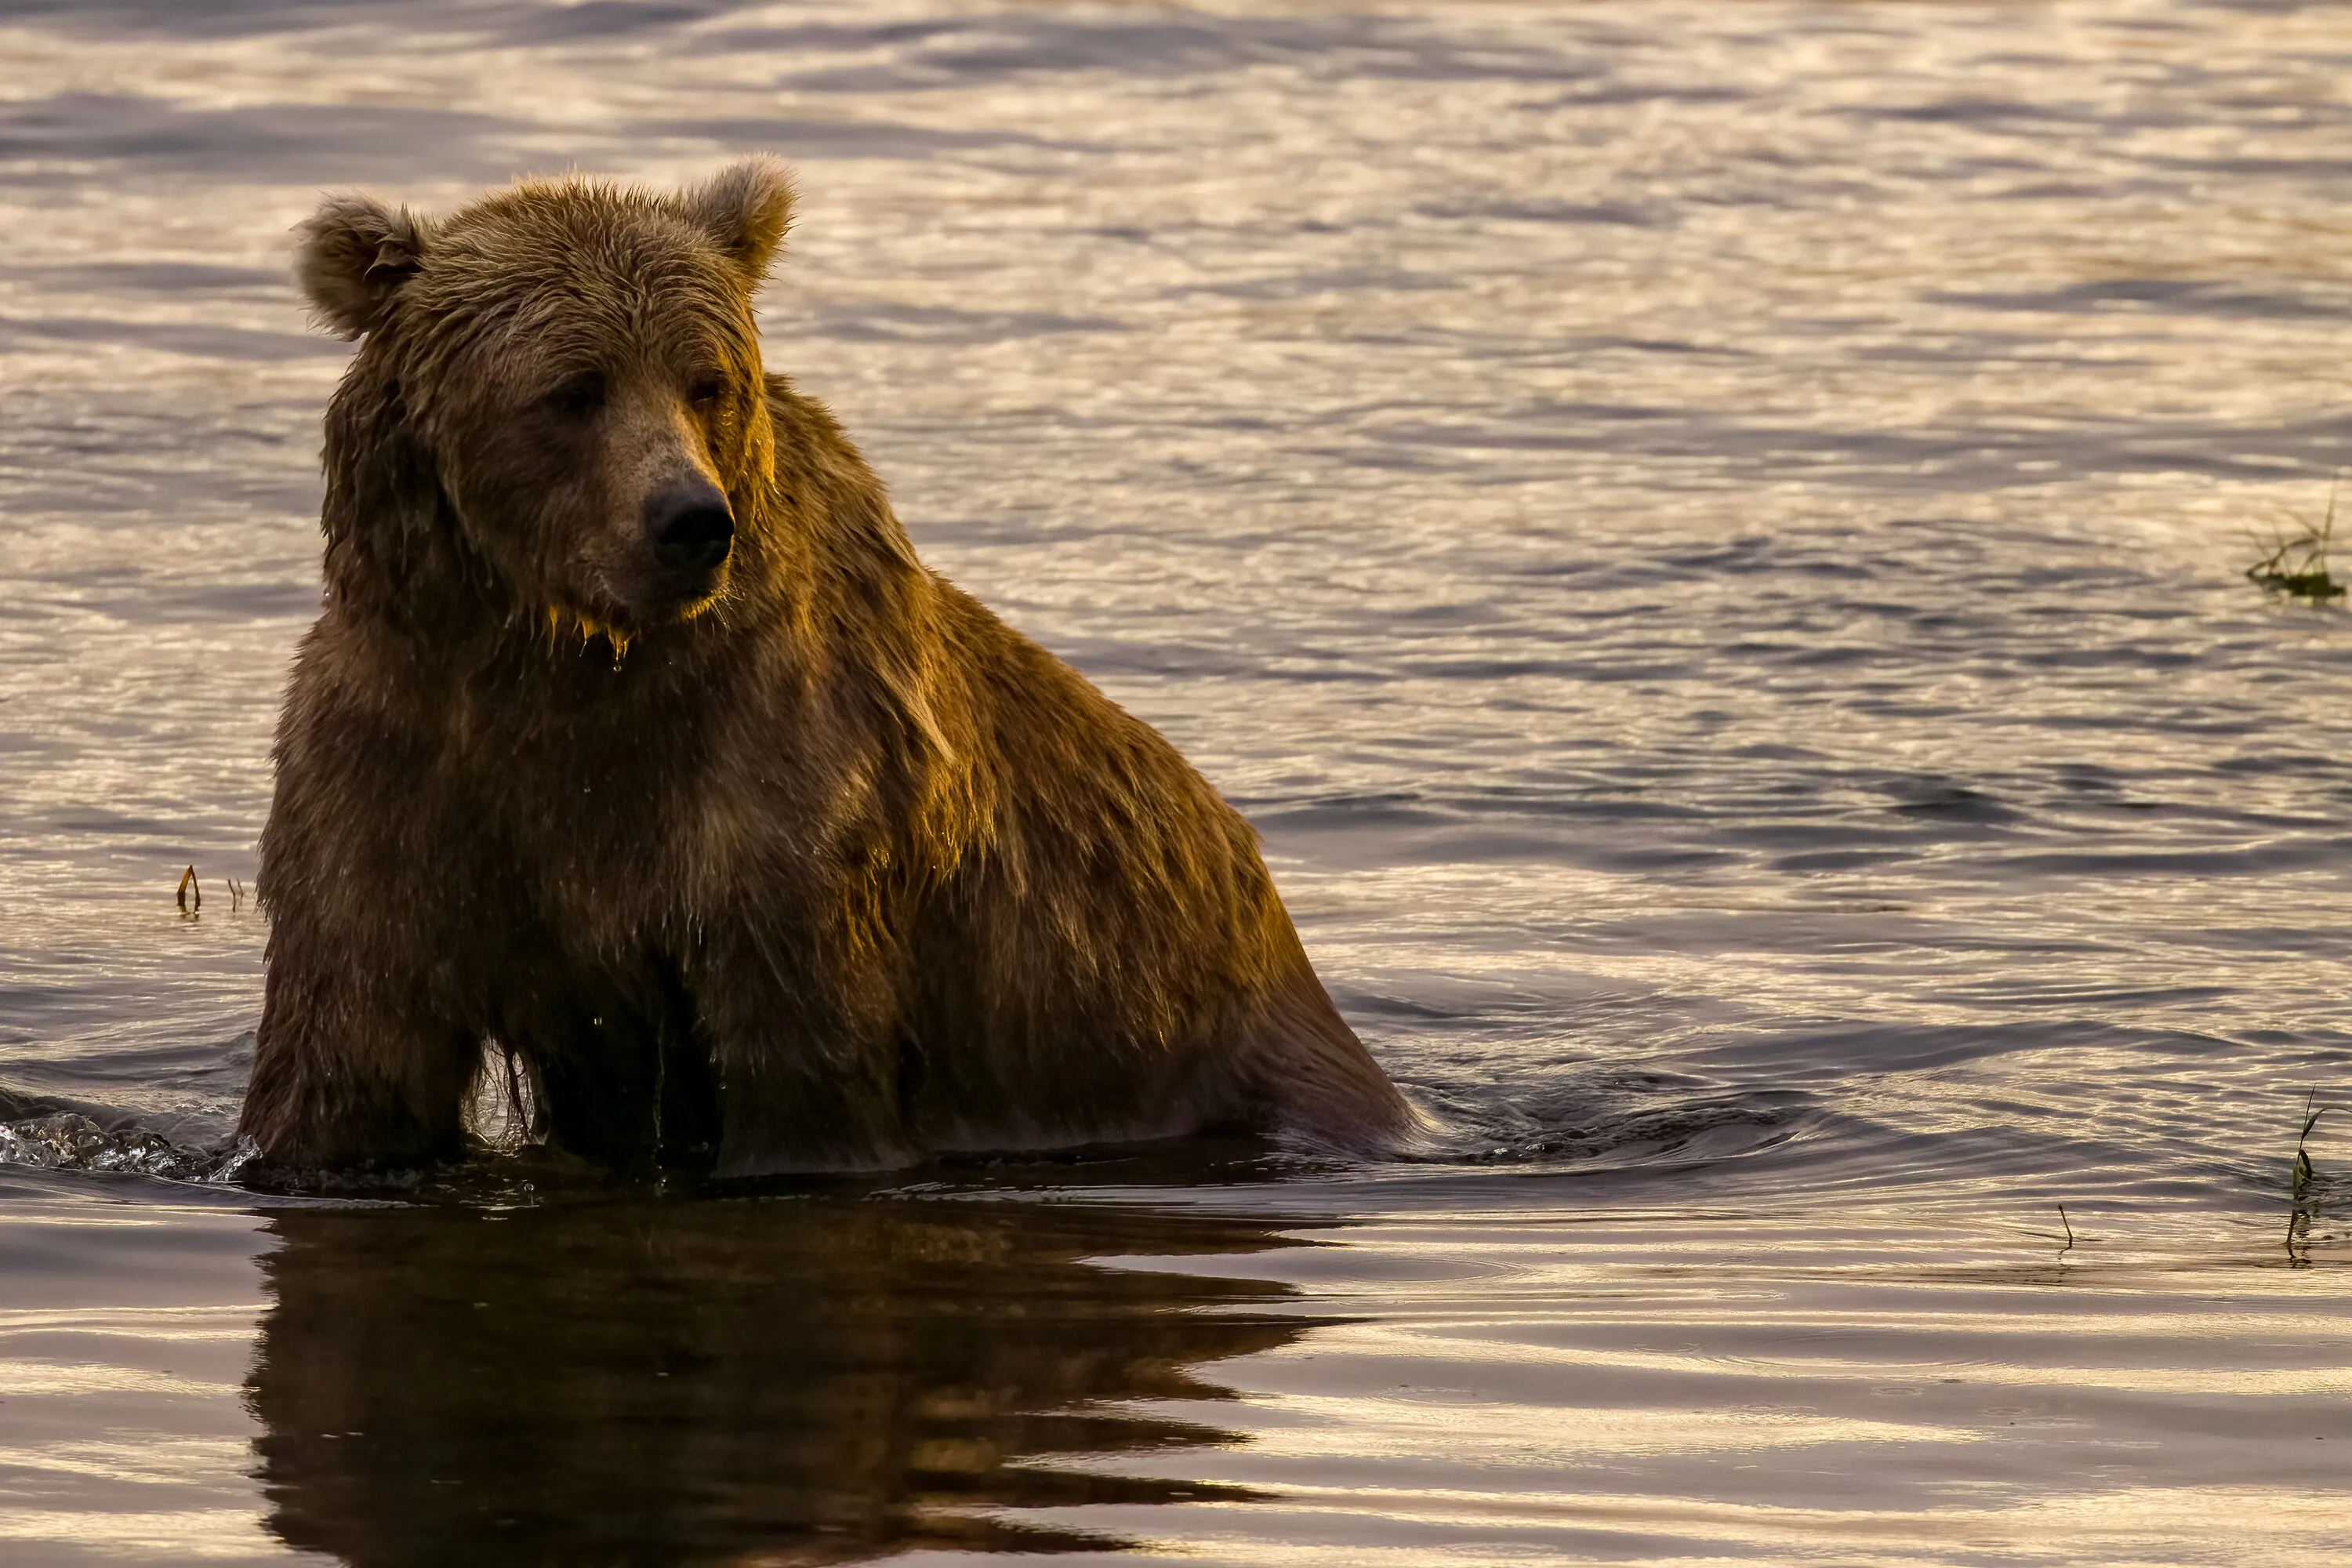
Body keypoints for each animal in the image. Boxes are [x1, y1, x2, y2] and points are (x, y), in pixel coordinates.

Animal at [236, 157, 1414, 1176]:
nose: (690, 522)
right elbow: (349, 1050)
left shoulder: (775, 788)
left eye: (707, 380)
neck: (559, 667)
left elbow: (800, 1062)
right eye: (573, 389)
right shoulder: (402, 761)